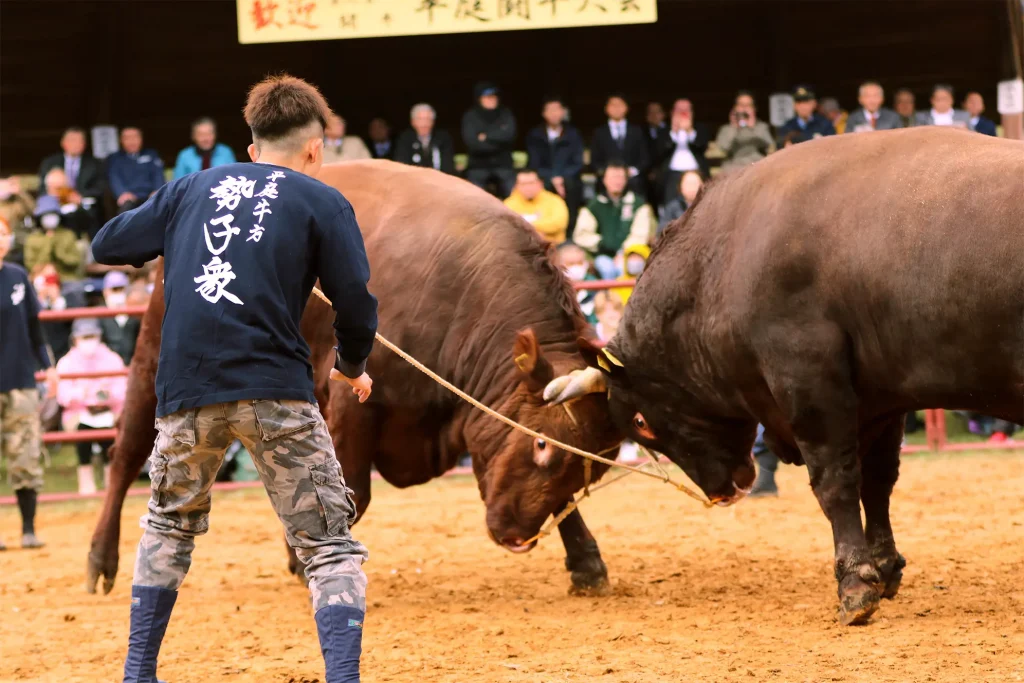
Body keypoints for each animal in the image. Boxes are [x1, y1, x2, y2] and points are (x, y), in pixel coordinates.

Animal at [86, 161, 622, 598]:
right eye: (540, 447)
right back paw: (101, 559)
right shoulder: (352, 399)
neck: (461, 296)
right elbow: (350, 496)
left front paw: (586, 560)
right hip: (151, 362)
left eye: (590, 471)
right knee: (126, 455)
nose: (516, 537)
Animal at [552, 127, 1024, 626]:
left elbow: (836, 481)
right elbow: (878, 481)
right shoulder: (880, 399)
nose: (725, 491)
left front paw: (856, 583)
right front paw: (884, 566)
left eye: (641, 423)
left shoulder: (808, 378)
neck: (727, 256)